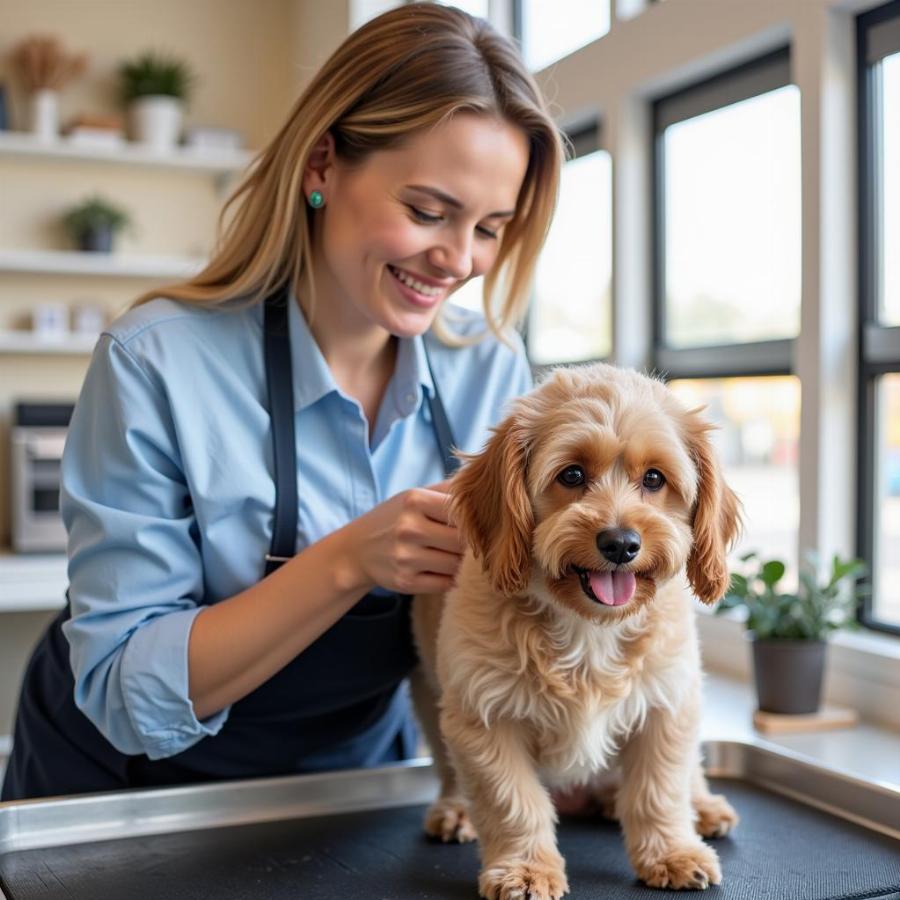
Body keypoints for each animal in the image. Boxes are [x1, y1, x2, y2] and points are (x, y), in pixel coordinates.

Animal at [412, 364, 740, 900]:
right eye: (572, 475)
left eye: (654, 478)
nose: (621, 543)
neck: (589, 629)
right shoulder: (482, 717)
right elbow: (512, 802)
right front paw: (525, 868)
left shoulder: (667, 704)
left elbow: (660, 789)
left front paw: (671, 852)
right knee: (449, 767)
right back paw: (456, 808)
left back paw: (704, 806)